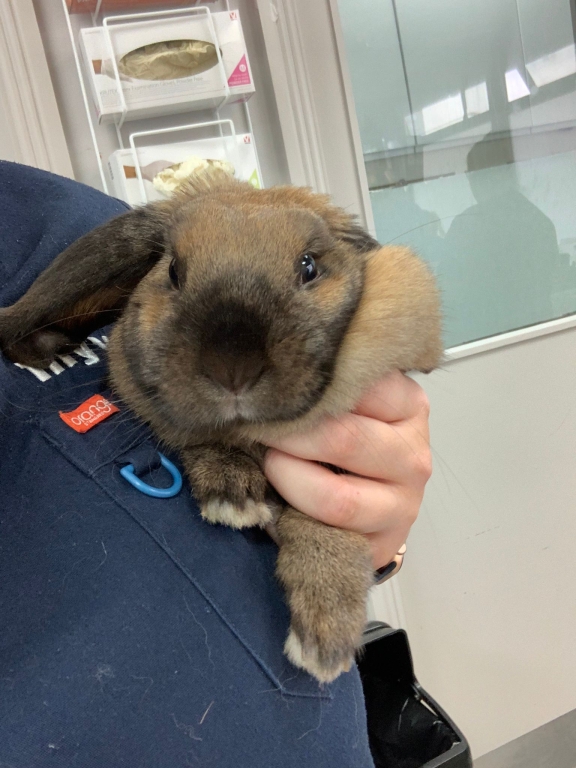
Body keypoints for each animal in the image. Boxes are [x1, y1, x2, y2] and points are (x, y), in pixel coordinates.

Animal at [0, 170, 442, 683]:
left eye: (309, 267)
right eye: (173, 271)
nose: (233, 367)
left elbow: (327, 521)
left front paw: (325, 635)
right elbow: (195, 435)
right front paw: (231, 493)